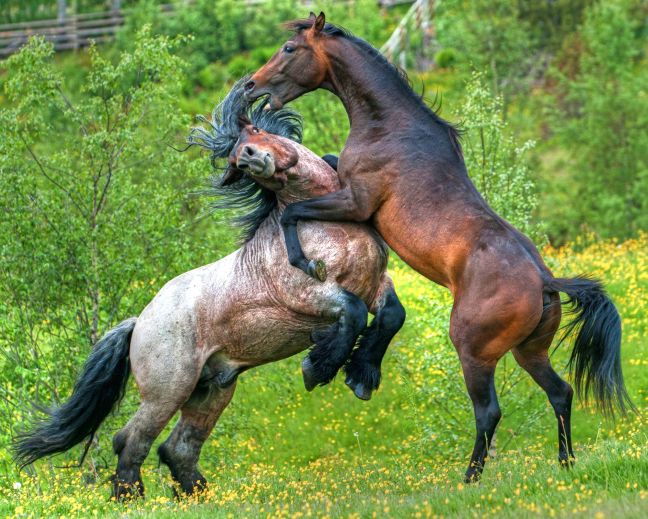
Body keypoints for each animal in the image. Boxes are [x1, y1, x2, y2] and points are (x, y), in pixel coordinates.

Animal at [13, 85, 404, 500]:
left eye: (255, 134)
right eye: (235, 158)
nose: (250, 159)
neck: (325, 224)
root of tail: (139, 322)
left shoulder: (376, 284)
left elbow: (391, 316)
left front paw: (361, 376)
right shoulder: (309, 296)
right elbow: (353, 312)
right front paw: (318, 368)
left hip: (212, 390)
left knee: (177, 447)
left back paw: (197, 495)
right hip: (168, 391)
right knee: (131, 439)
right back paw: (131, 497)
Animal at [244, 12, 632, 484]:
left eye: (288, 49)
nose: (251, 85)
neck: (389, 126)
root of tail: (544, 280)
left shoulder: (355, 203)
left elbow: (293, 213)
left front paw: (304, 262)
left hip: (473, 351)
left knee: (489, 412)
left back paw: (469, 480)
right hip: (530, 351)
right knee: (560, 393)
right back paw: (565, 463)